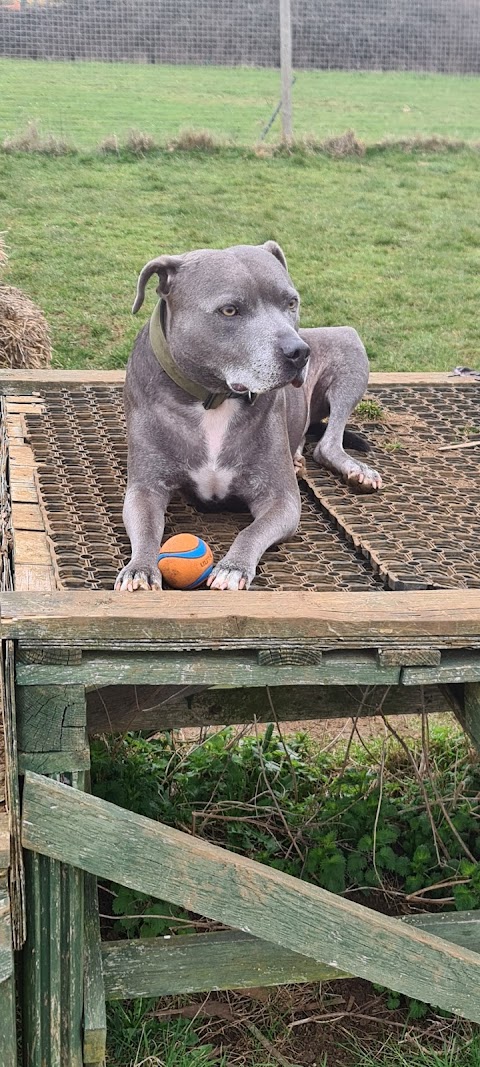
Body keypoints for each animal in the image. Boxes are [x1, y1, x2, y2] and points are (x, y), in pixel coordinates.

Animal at [114, 242, 379, 593]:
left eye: (291, 302)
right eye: (229, 310)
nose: (299, 352)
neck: (213, 399)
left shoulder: (281, 500)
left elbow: (251, 531)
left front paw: (233, 567)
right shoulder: (145, 488)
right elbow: (145, 528)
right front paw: (140, 569)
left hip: (348, 344)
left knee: (328, 445)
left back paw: (353, 470)